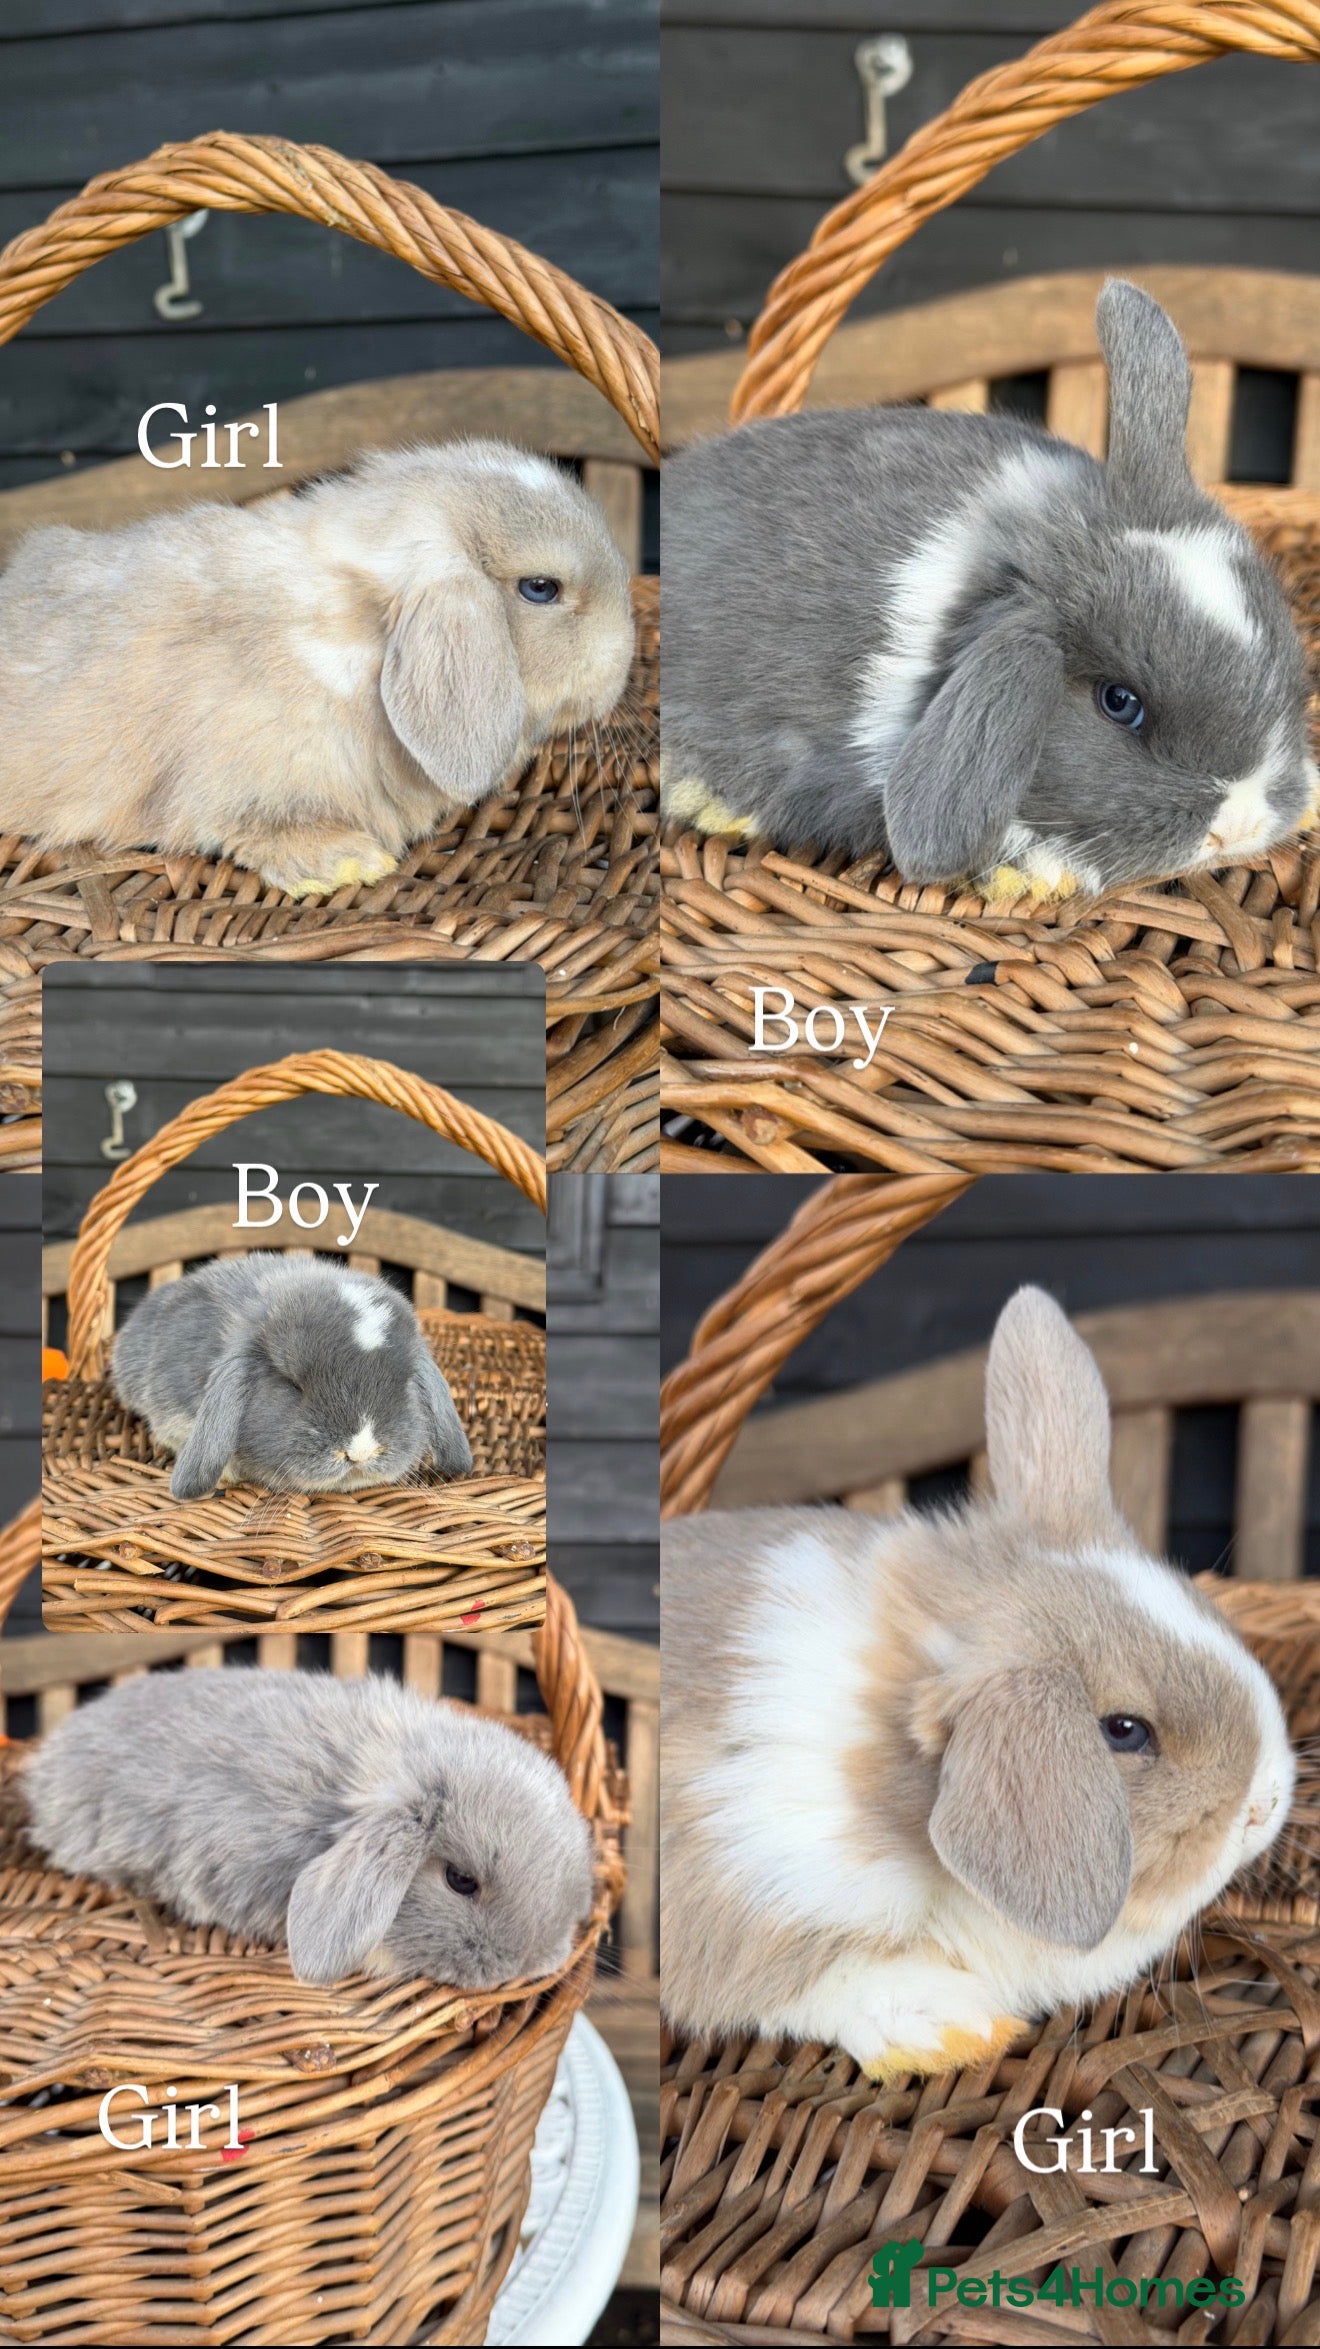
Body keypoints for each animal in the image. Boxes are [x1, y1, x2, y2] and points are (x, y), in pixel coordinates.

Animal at [0, 438, 634, 898]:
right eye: (540, 588)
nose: (625, 662)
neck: (359, 643)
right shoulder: (245, 790)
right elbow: (257, 828)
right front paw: (350, 865)